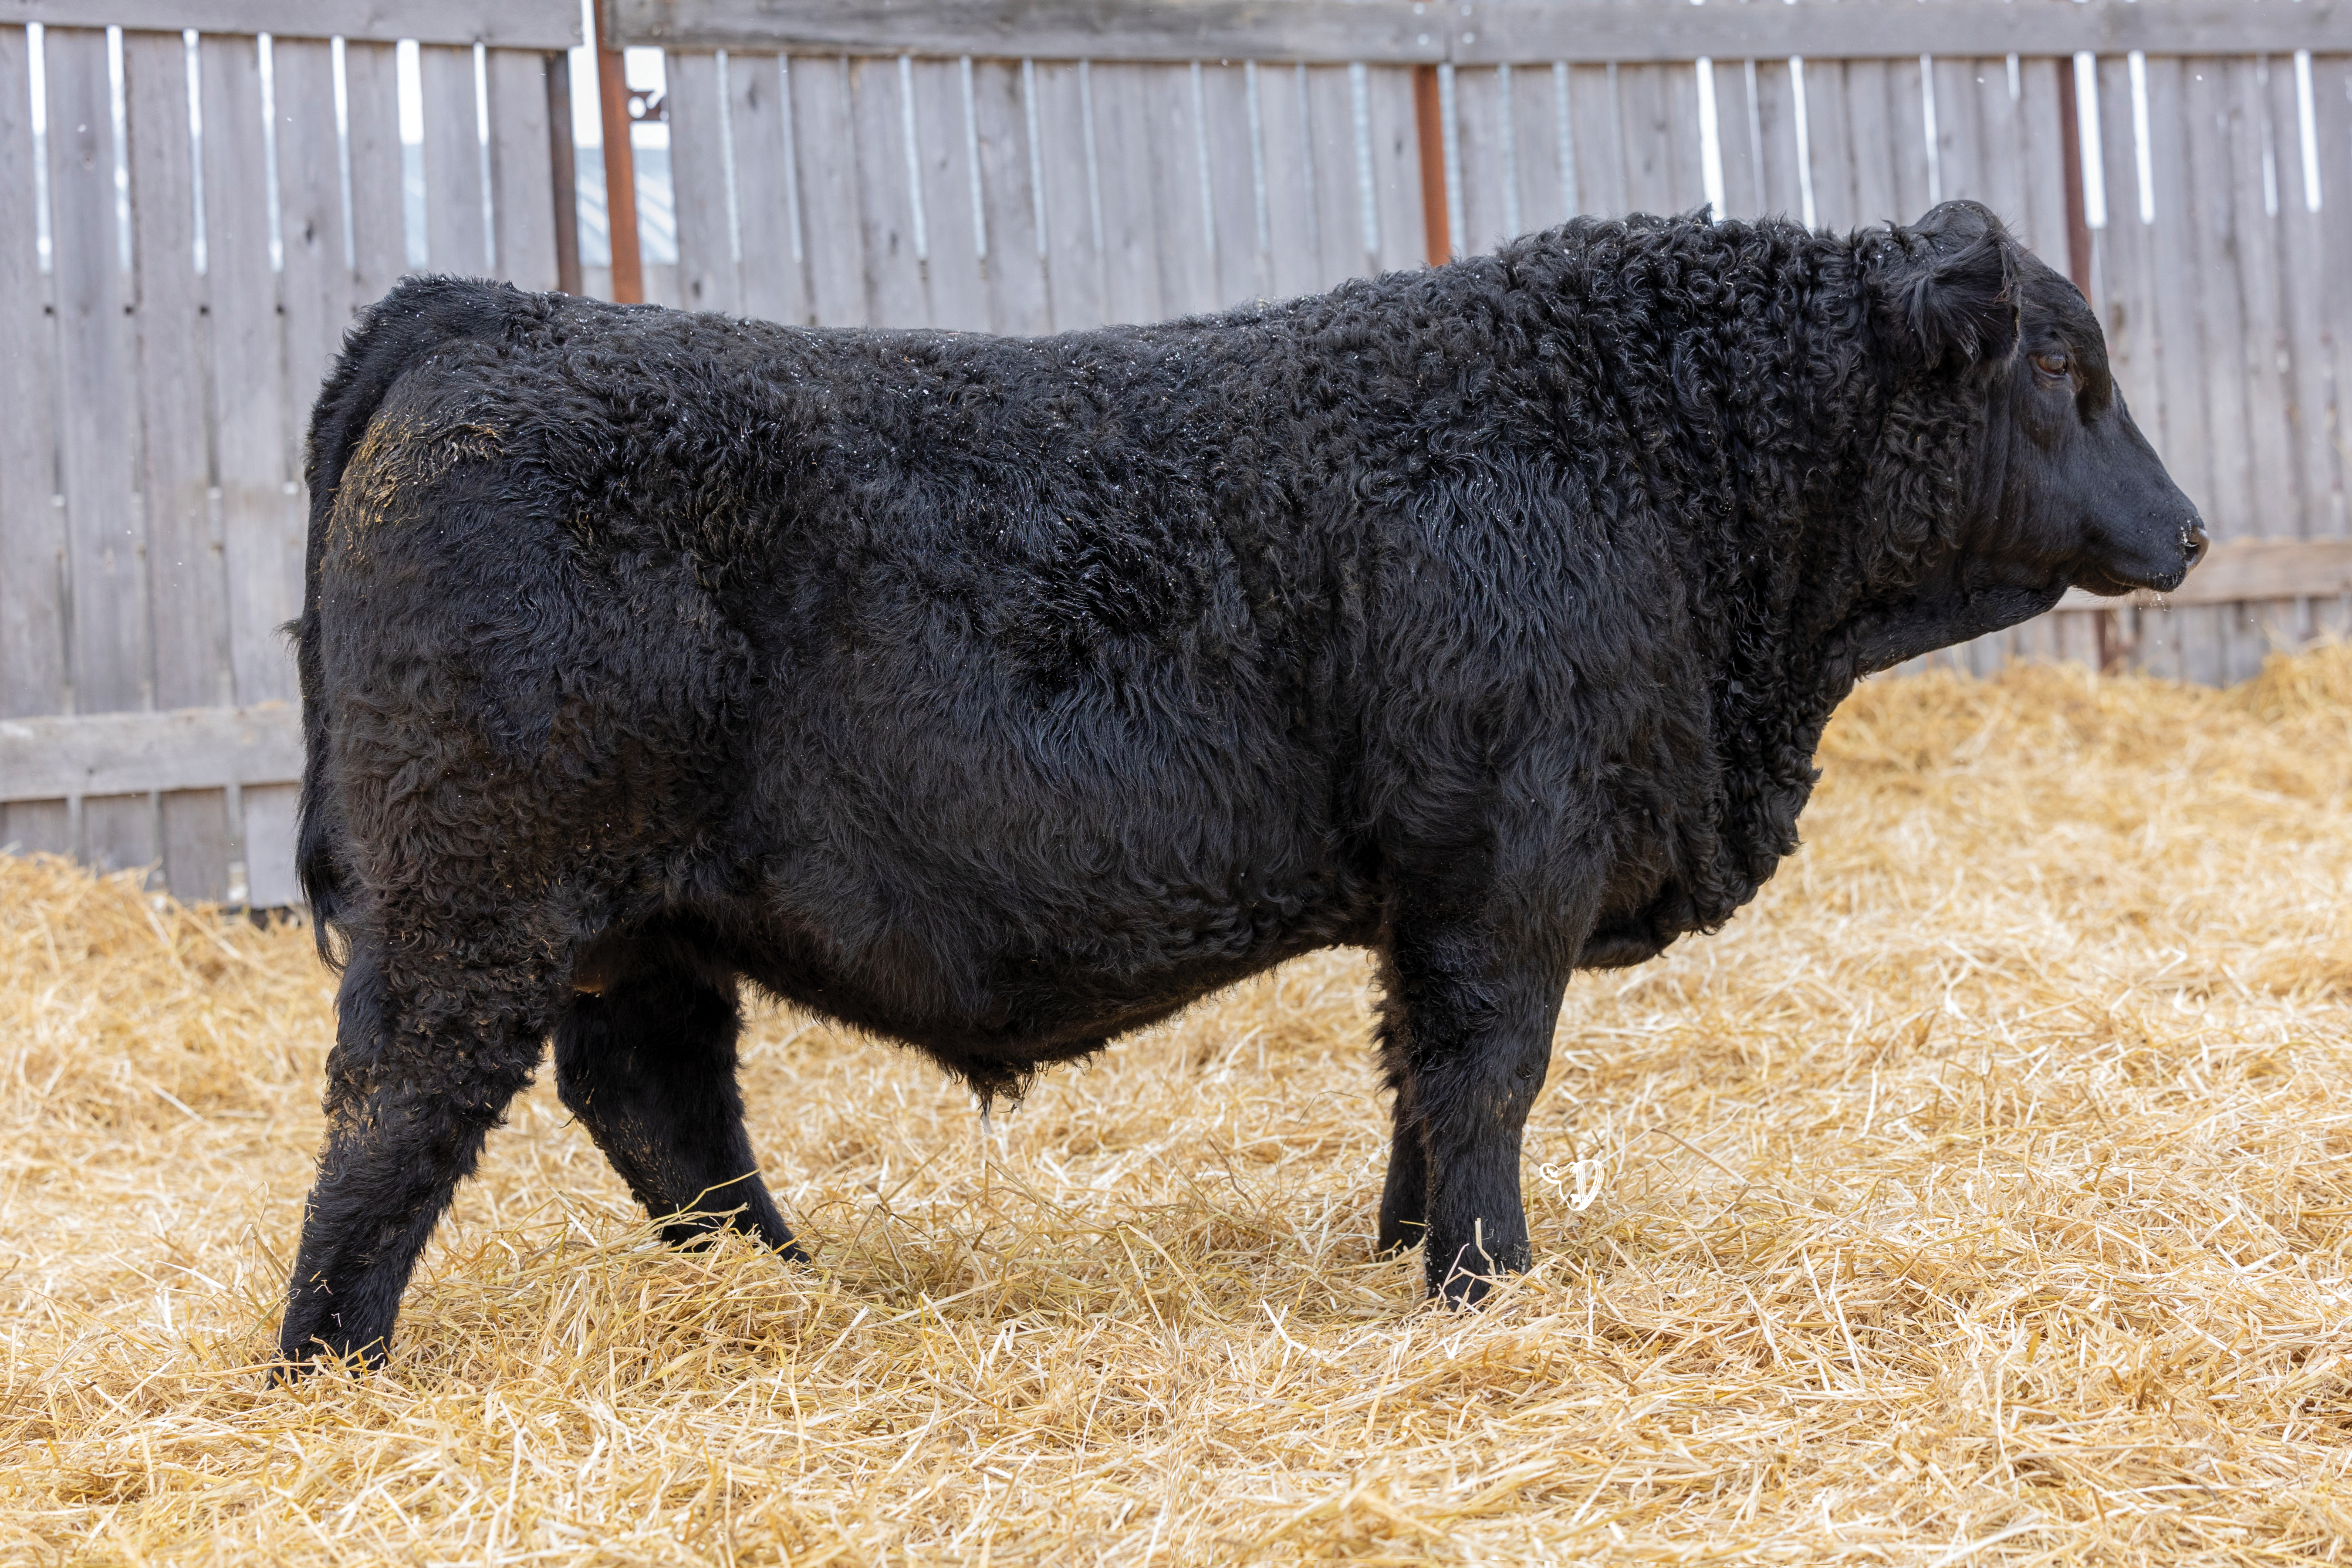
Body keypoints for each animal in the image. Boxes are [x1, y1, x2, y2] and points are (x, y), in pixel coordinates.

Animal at [278, 200, 2202, 1371]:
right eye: (2062, 367)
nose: (2188, 530)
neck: (1659, 458)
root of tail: (490, 315)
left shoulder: (1428, 889)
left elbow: (1415, 1083)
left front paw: (1405, 1254)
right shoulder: (1511, 862)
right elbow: (1489, 1077)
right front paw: (1488, 1286)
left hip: (642, 917)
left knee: (660, 1102)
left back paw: (787, 1292)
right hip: (479, 890)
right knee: (399, 1105)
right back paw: (334, 1360)